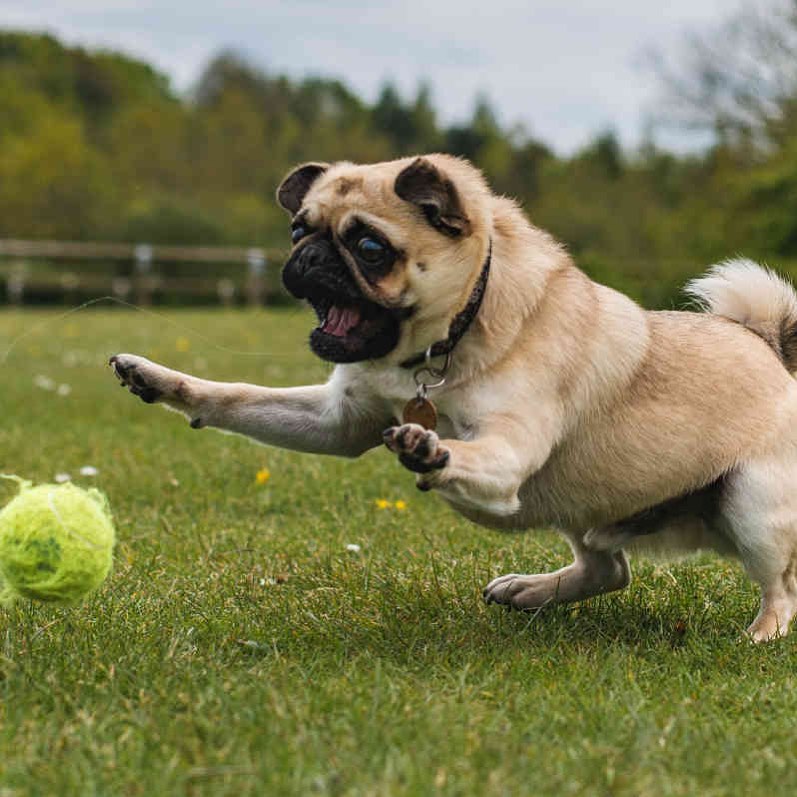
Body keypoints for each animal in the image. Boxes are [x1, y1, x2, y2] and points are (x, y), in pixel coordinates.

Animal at [109, 154, 796, 640]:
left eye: (369, 248)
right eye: (299, 229)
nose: (308, 257)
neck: (447, 340)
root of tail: (771, 351)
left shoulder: (507, 453)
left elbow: (465, 452)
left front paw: (429, 450)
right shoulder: (338, 421)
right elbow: (236, 396)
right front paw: (161, 381)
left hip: (751, 505)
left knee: (781, 589)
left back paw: (760, 635)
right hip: (588, 513)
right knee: (609, 569)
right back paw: (531, 591)